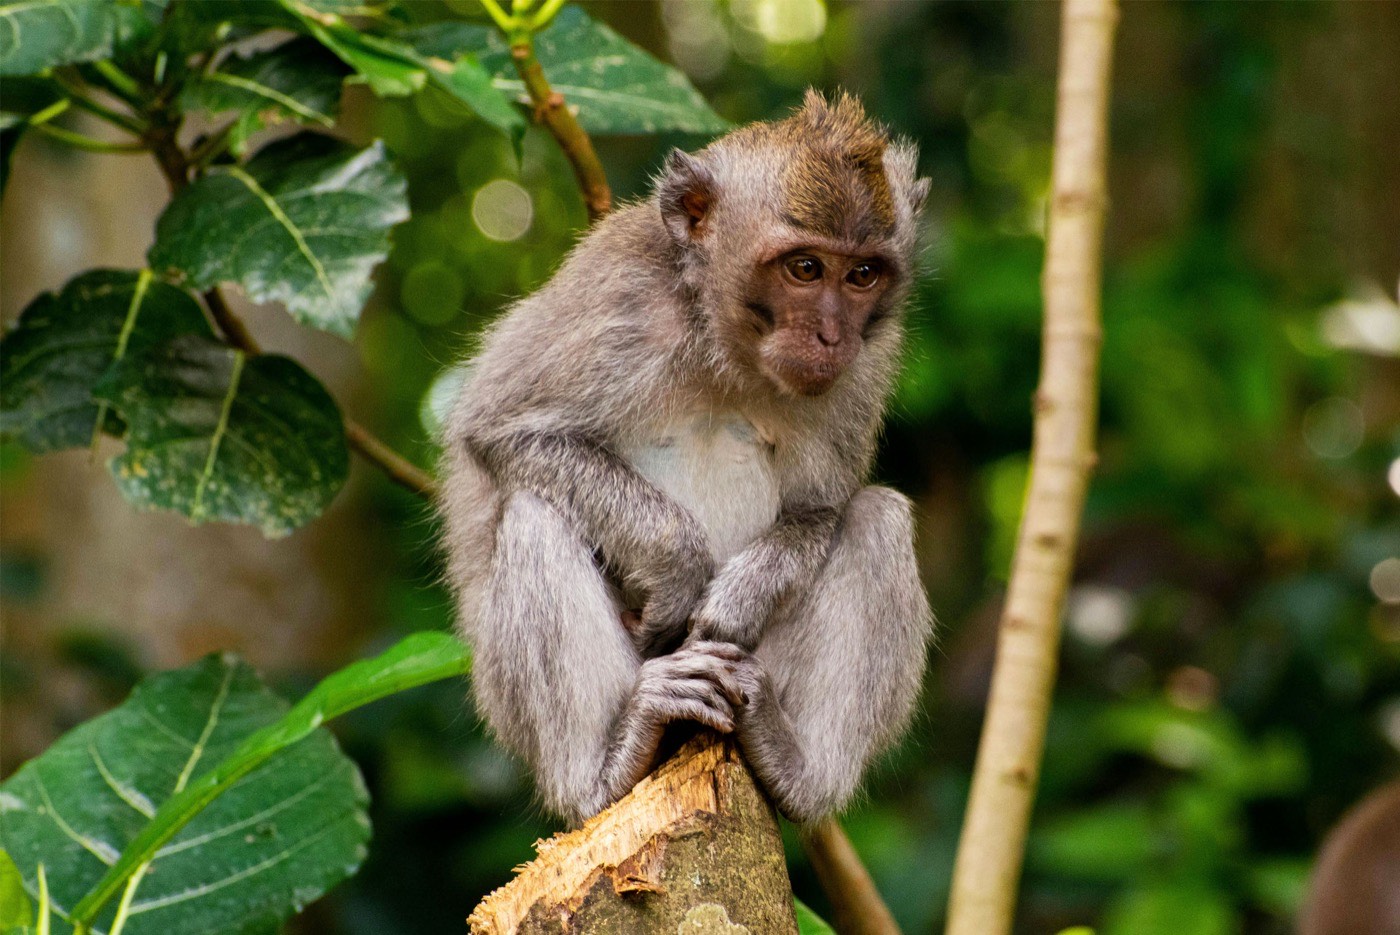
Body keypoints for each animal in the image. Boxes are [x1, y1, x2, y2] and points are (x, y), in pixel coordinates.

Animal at [439, 90, 934, 826]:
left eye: (863, 274)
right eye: (805, 268)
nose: (830, 336)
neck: (725, 345)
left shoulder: (868, 364)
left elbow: (820, 510)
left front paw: (737, 597)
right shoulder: (616, 293)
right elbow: (504, 430)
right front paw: (678, 567)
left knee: (879, 517)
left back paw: (796, 770)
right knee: (535, 510)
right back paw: (605, 769)